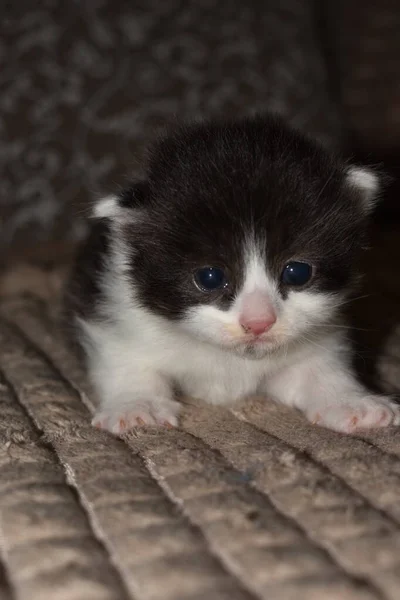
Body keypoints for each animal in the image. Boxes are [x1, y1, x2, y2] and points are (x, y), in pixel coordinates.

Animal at [65, 115, 400, 434]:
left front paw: (351, 402)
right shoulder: (116, 306)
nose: (258, 323)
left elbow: (318, 368)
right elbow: (125, 359)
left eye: (297, 272)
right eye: (210, 277)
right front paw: (136, 406)